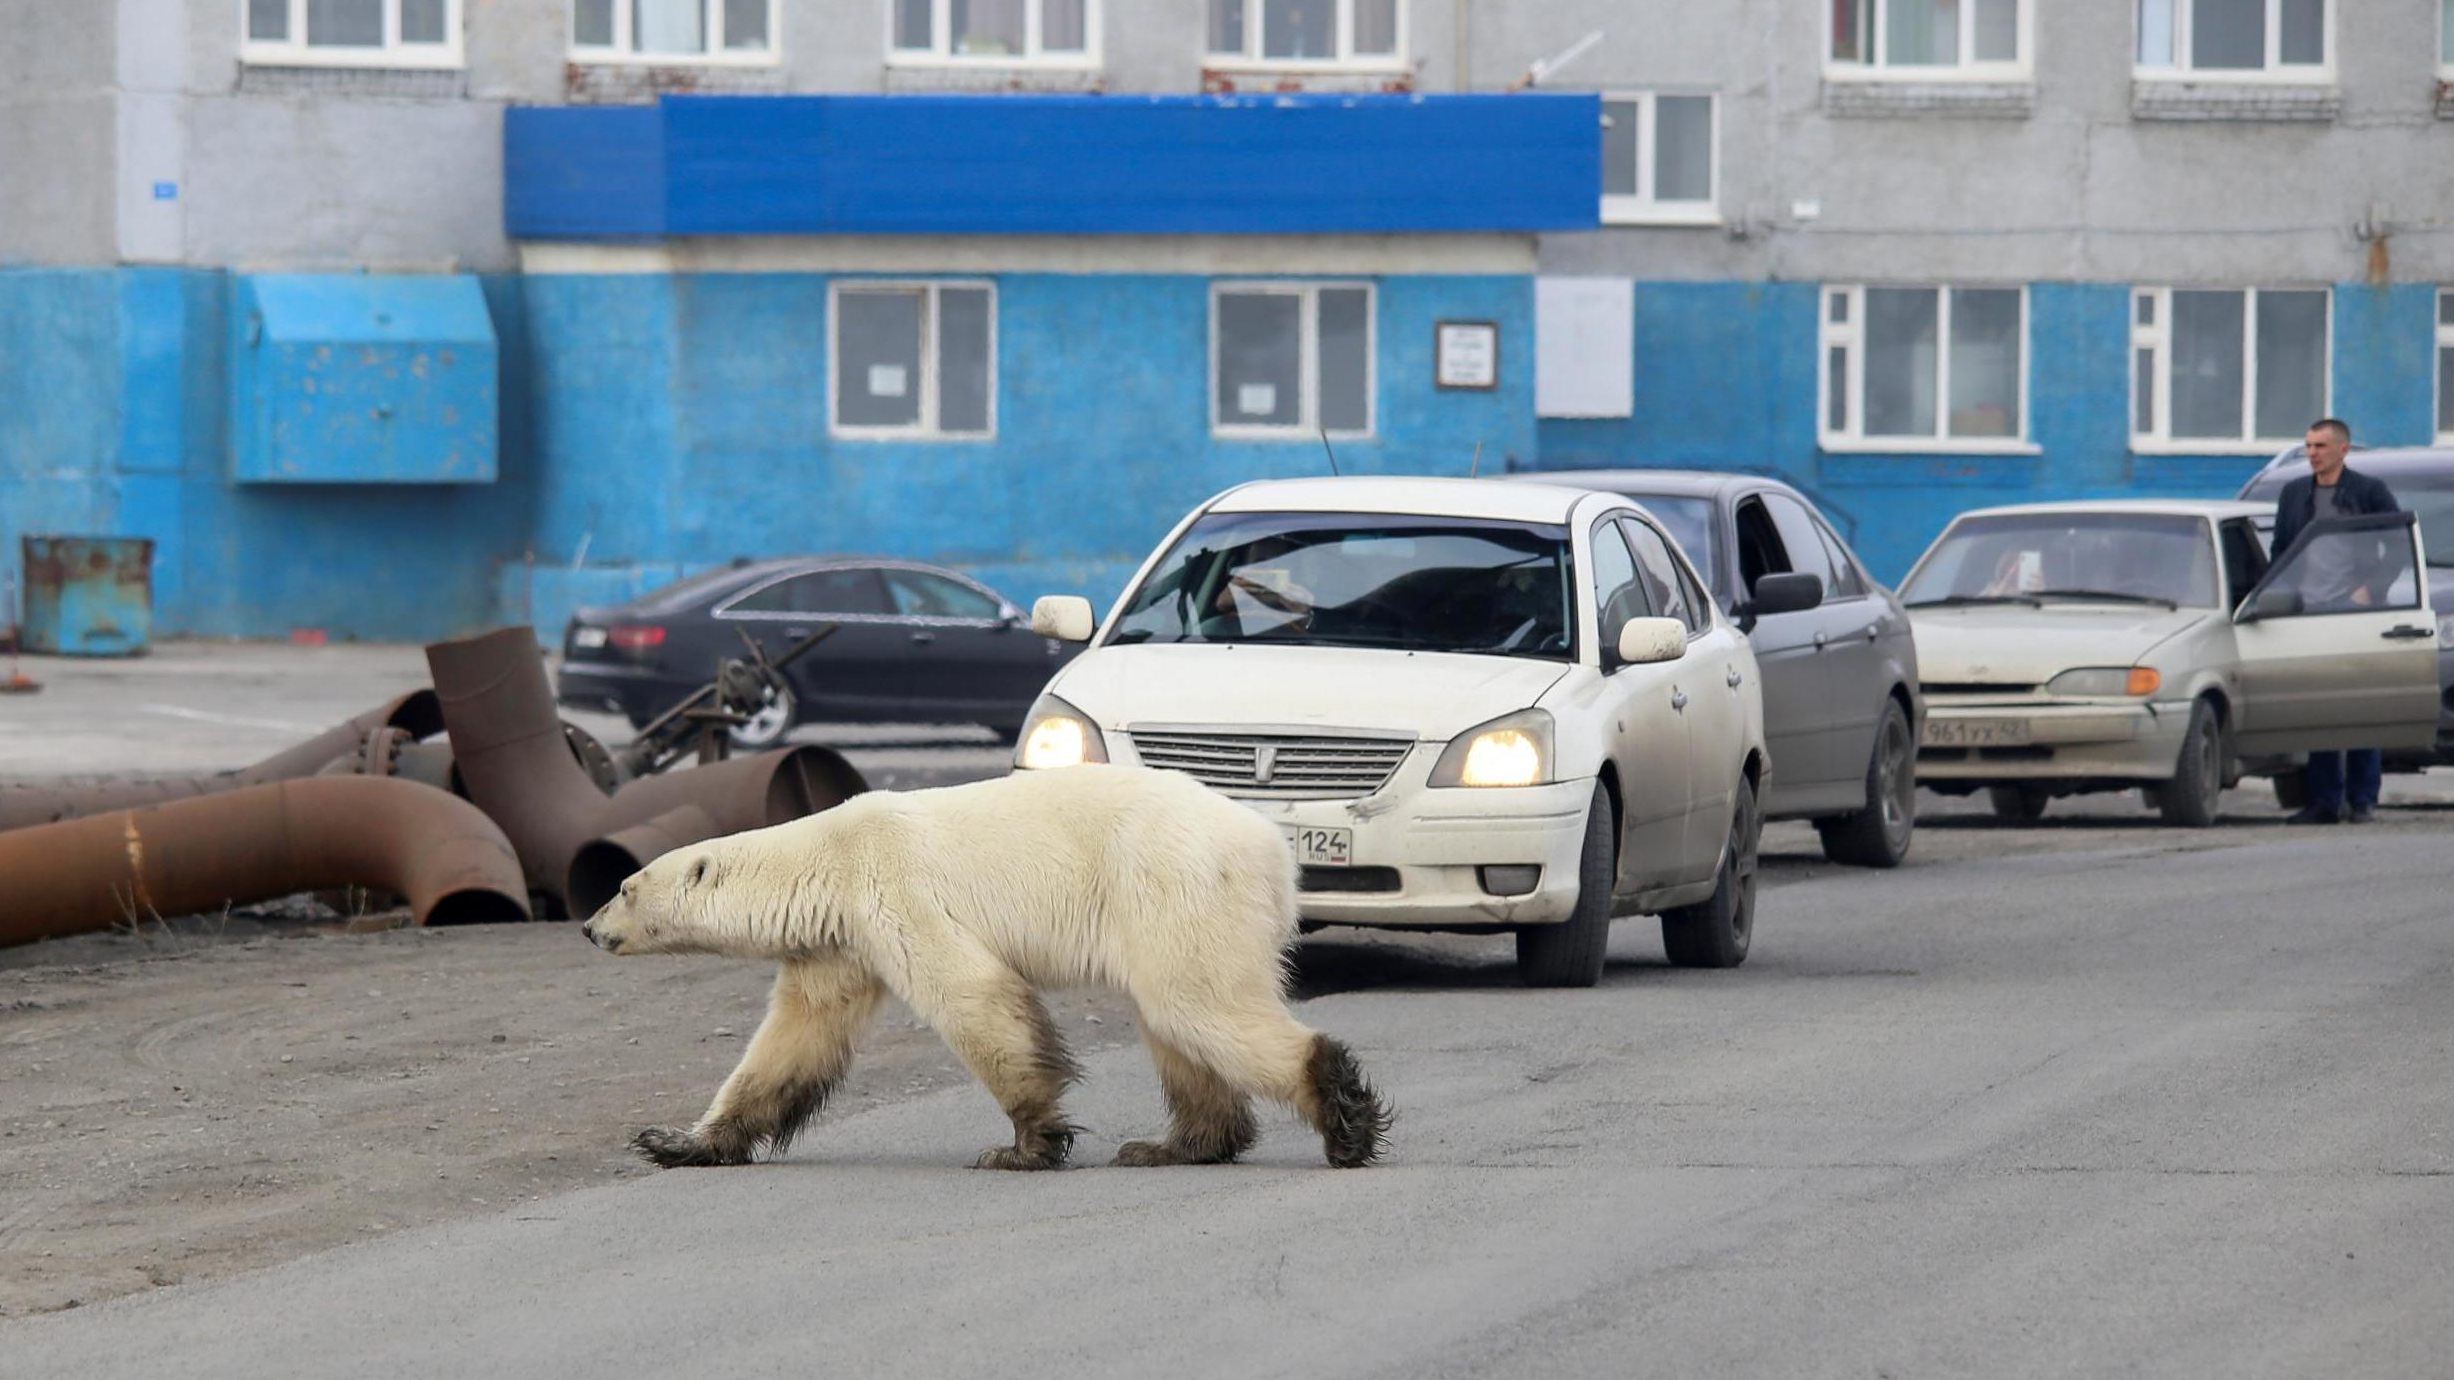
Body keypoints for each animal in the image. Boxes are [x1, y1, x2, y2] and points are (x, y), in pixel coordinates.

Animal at [581, 763, 1391, 1171]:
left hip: (1172, 883)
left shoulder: (894, 888)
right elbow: (793, 1039)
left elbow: (974, 997)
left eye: (623, 885)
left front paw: (1025, 1145)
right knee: (1176, 1024)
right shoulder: (838, 944)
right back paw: (1172, 1146)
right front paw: (675, 1142)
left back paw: (1343, 1119)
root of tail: (1271, 845)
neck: (828, 857)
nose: (588, 927)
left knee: (1197, 1004)